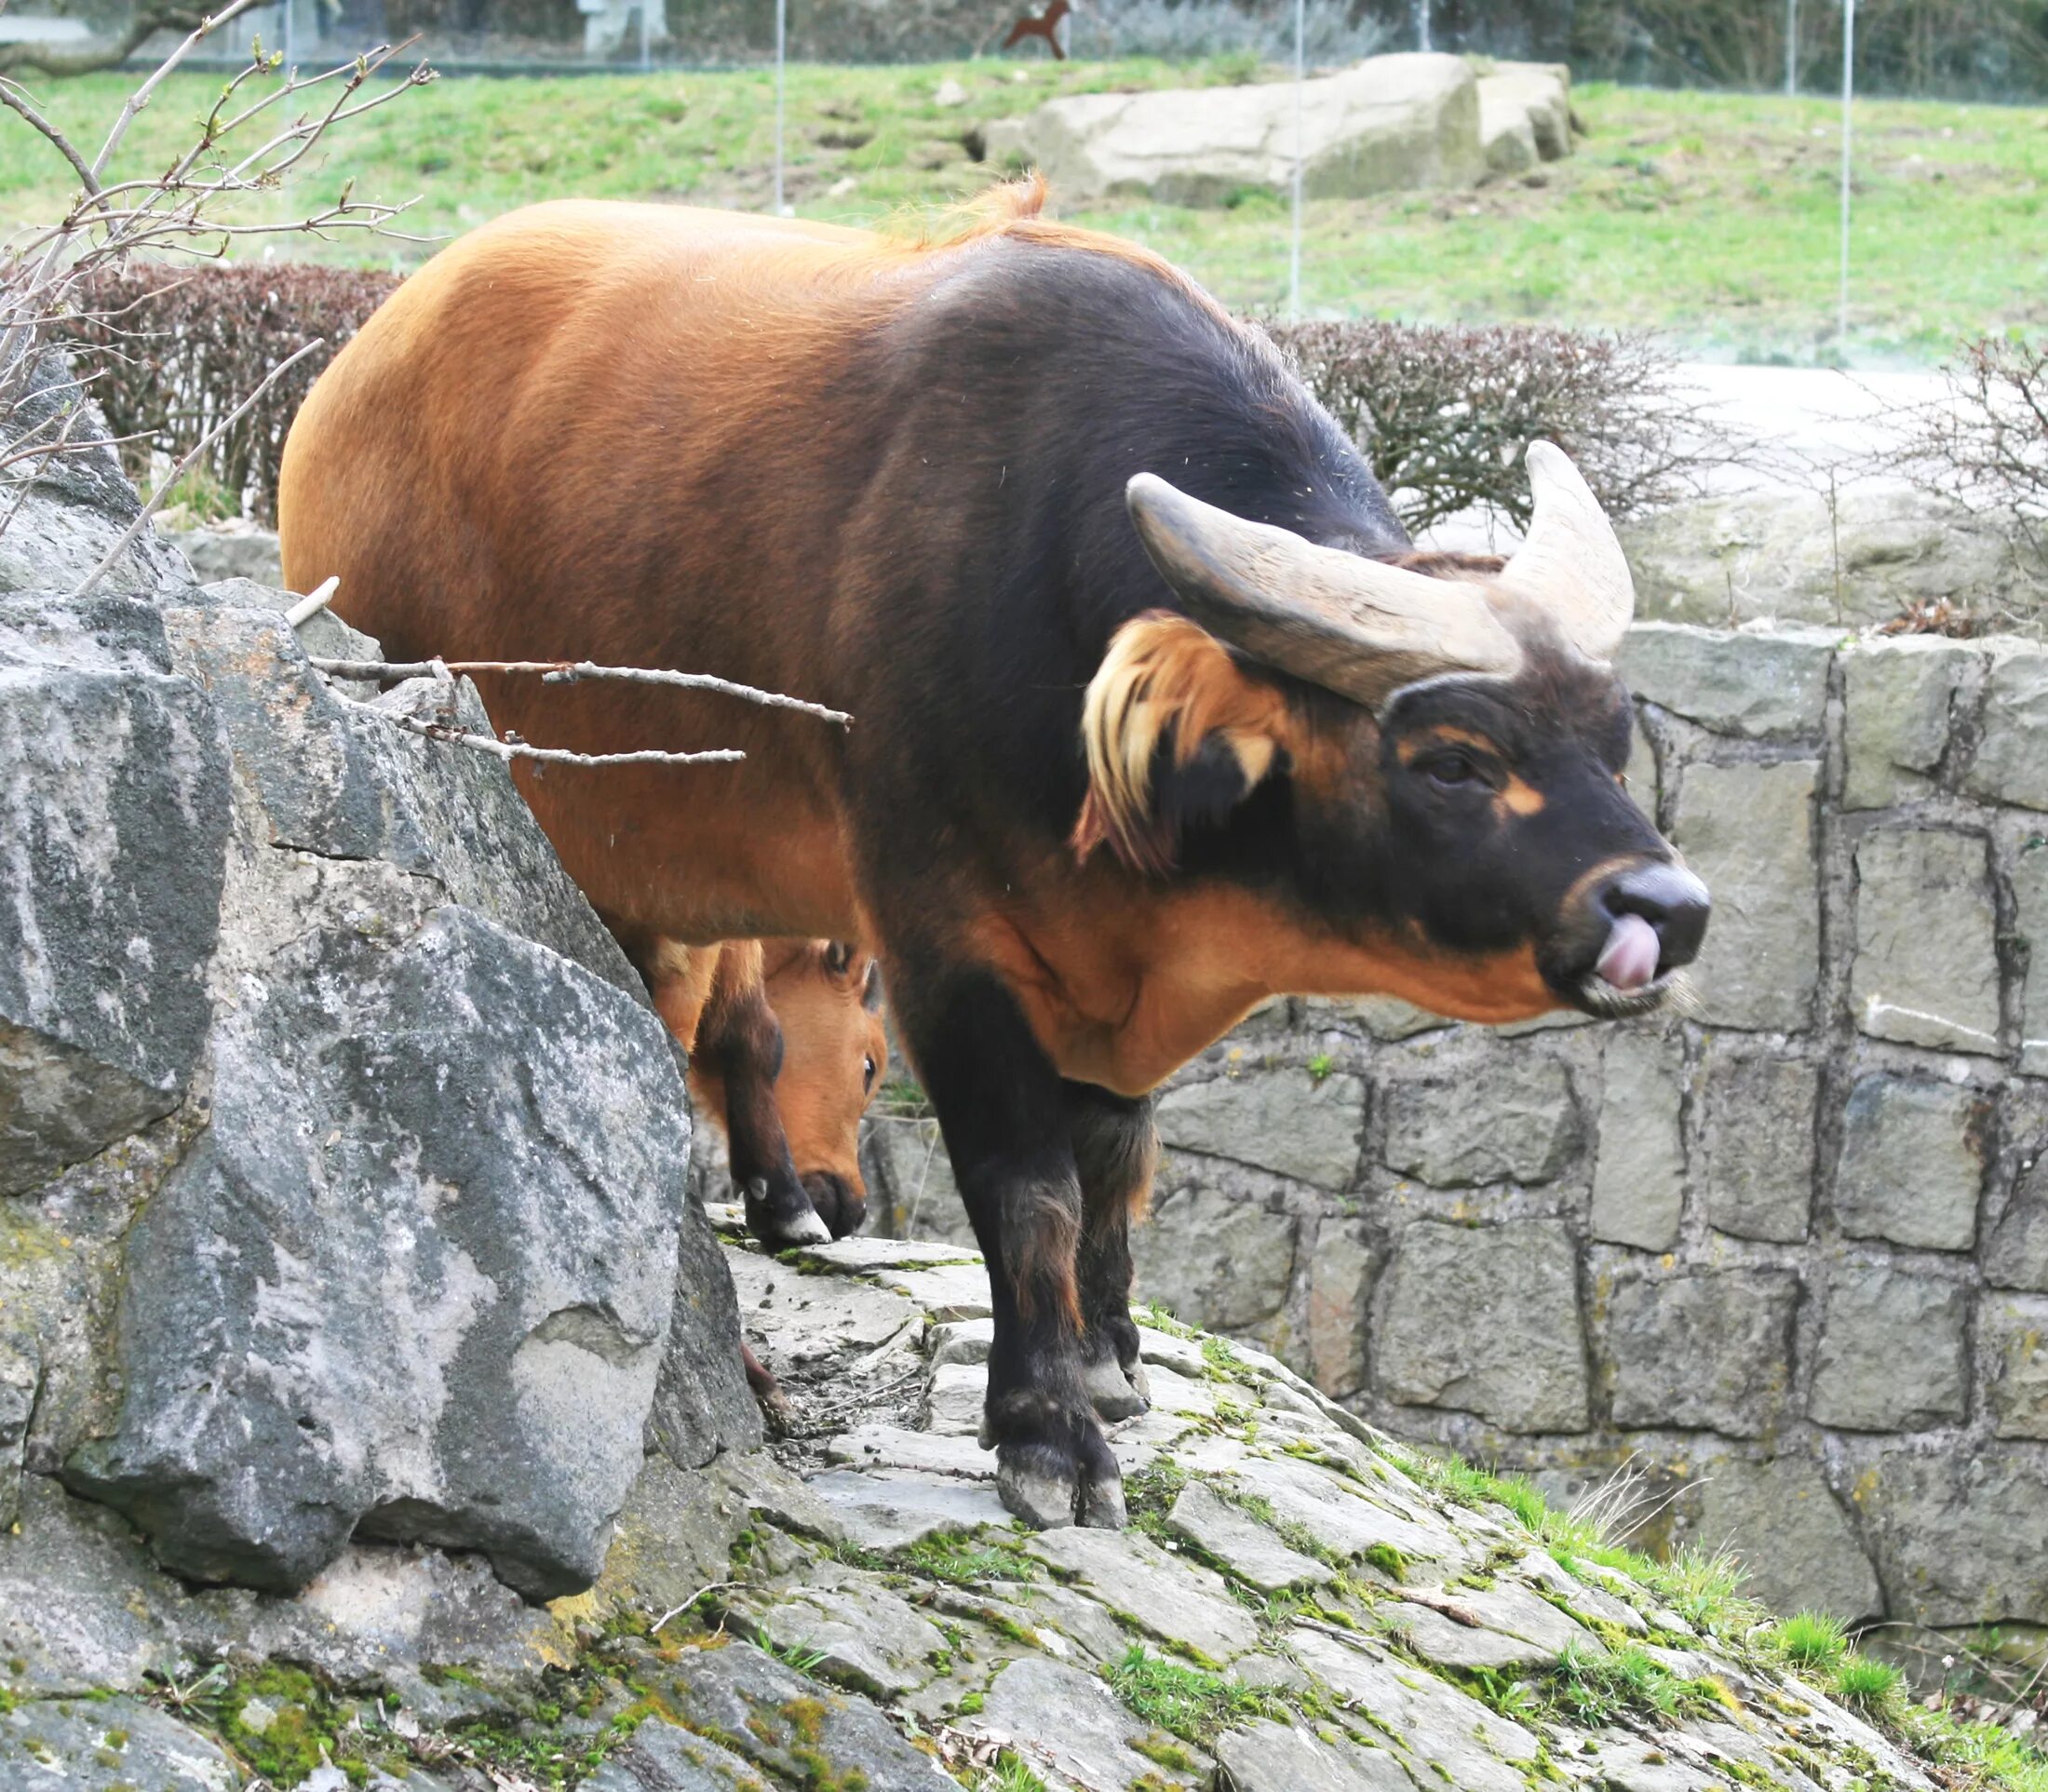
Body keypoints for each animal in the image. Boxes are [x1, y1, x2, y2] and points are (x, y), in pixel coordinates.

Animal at [276, 179, 1712, 1523]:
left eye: (1615, 737)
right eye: (1454, 756)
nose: (1669, 906)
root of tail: (351, 378)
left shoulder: (1110, 961)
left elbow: (1116, 1163)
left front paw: (1110, 1356)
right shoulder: (943, 941)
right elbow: (1027, 1187)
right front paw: (1047, 1428)